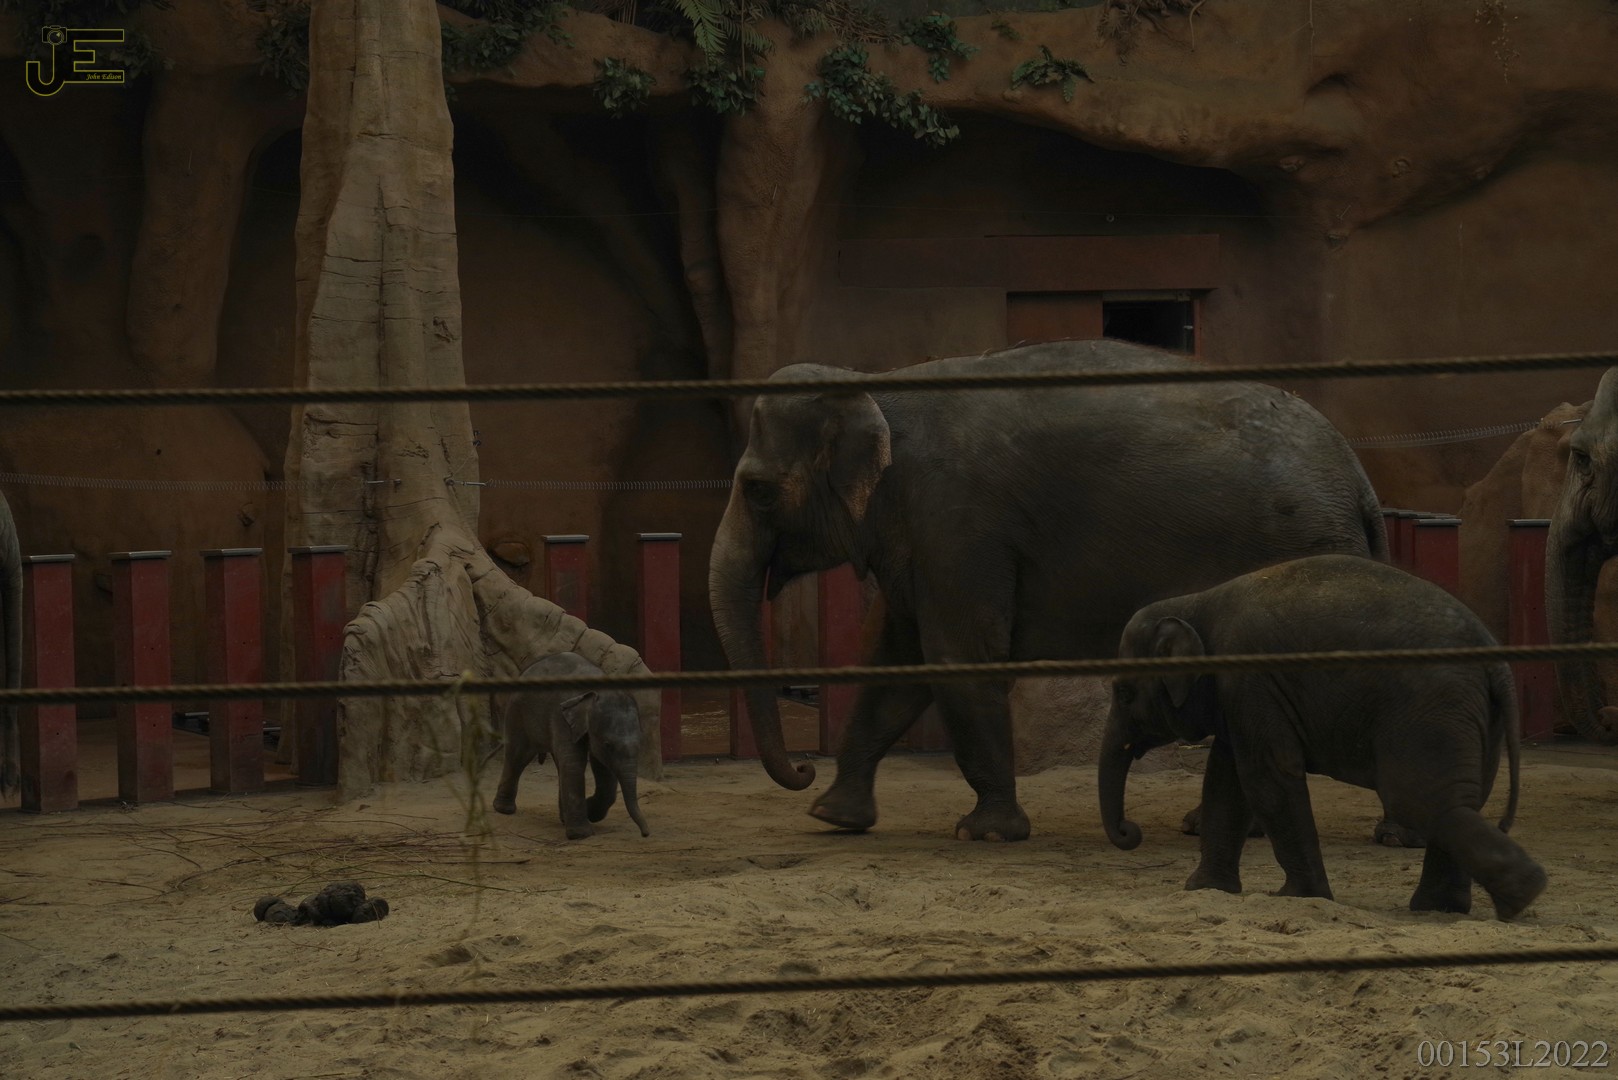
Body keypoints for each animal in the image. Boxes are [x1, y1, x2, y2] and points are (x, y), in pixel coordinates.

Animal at [492, 652, 650, 840]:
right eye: (608, 744)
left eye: (640, 743)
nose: (645, 833)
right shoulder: (562, 720)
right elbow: (574, 765)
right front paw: (581, 833)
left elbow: (602, 768)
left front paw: (589, 812)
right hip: (517, 712)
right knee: (517, 756)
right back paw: (504, 809)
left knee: (557, 765)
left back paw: (563, 818)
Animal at [708, 337, 1396, 845]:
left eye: (757, 490)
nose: (802, 768)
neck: (876, 383)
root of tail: (1360, 483)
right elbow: (896, 663)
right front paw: (833, 818)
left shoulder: (960, 523)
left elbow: (957, 657)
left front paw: (985, 834)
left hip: (1296, 551)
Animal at [1100, 554, 1547, 921]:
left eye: (1124, 694)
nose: (1129, 832)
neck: (1196, 602)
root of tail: (1497, 665)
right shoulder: (1238, 698)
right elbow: (1227, 784)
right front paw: (1204, 891)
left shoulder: (1251, 682)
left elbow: (1267, 779)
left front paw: (1295, 898)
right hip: (1474, 717)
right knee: (1459, 801)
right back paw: (1452, 907)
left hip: (1431, 708)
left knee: (1419, 799)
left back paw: (1517, 896)